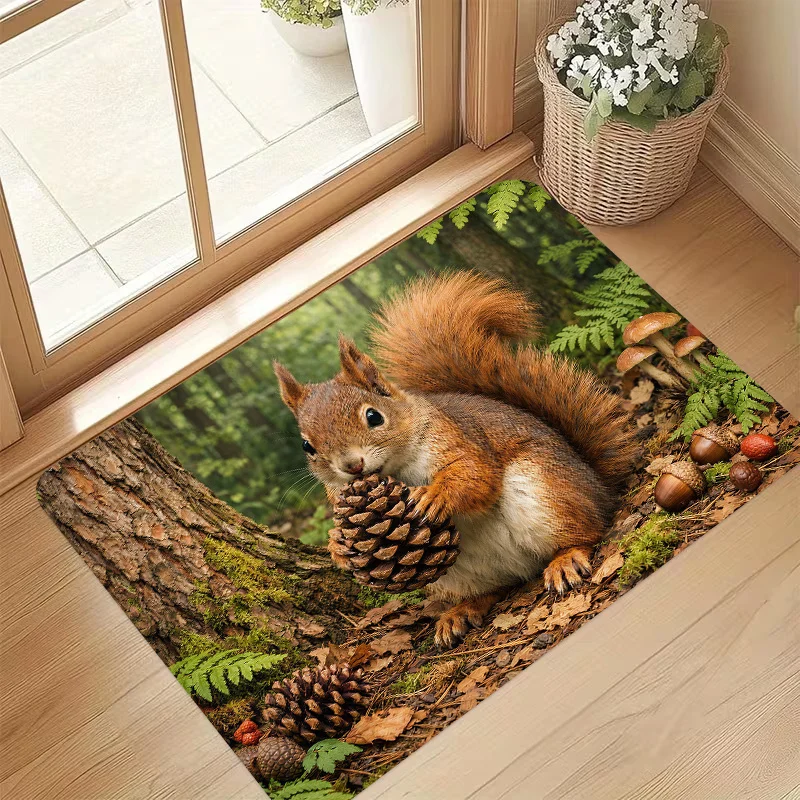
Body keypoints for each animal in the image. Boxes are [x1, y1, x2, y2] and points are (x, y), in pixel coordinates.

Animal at [274, 272, 636, 647]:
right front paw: (337, 546)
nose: (352, 466)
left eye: (373, 416)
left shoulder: (458, 440)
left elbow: (475, 474)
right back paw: (461, 612)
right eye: (307, 446)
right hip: (454, 574)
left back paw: (566, 558)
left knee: (587, 531)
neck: (396, 473)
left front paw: (436, 495)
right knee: (497, 586)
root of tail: (598, 488)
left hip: (545, 493)